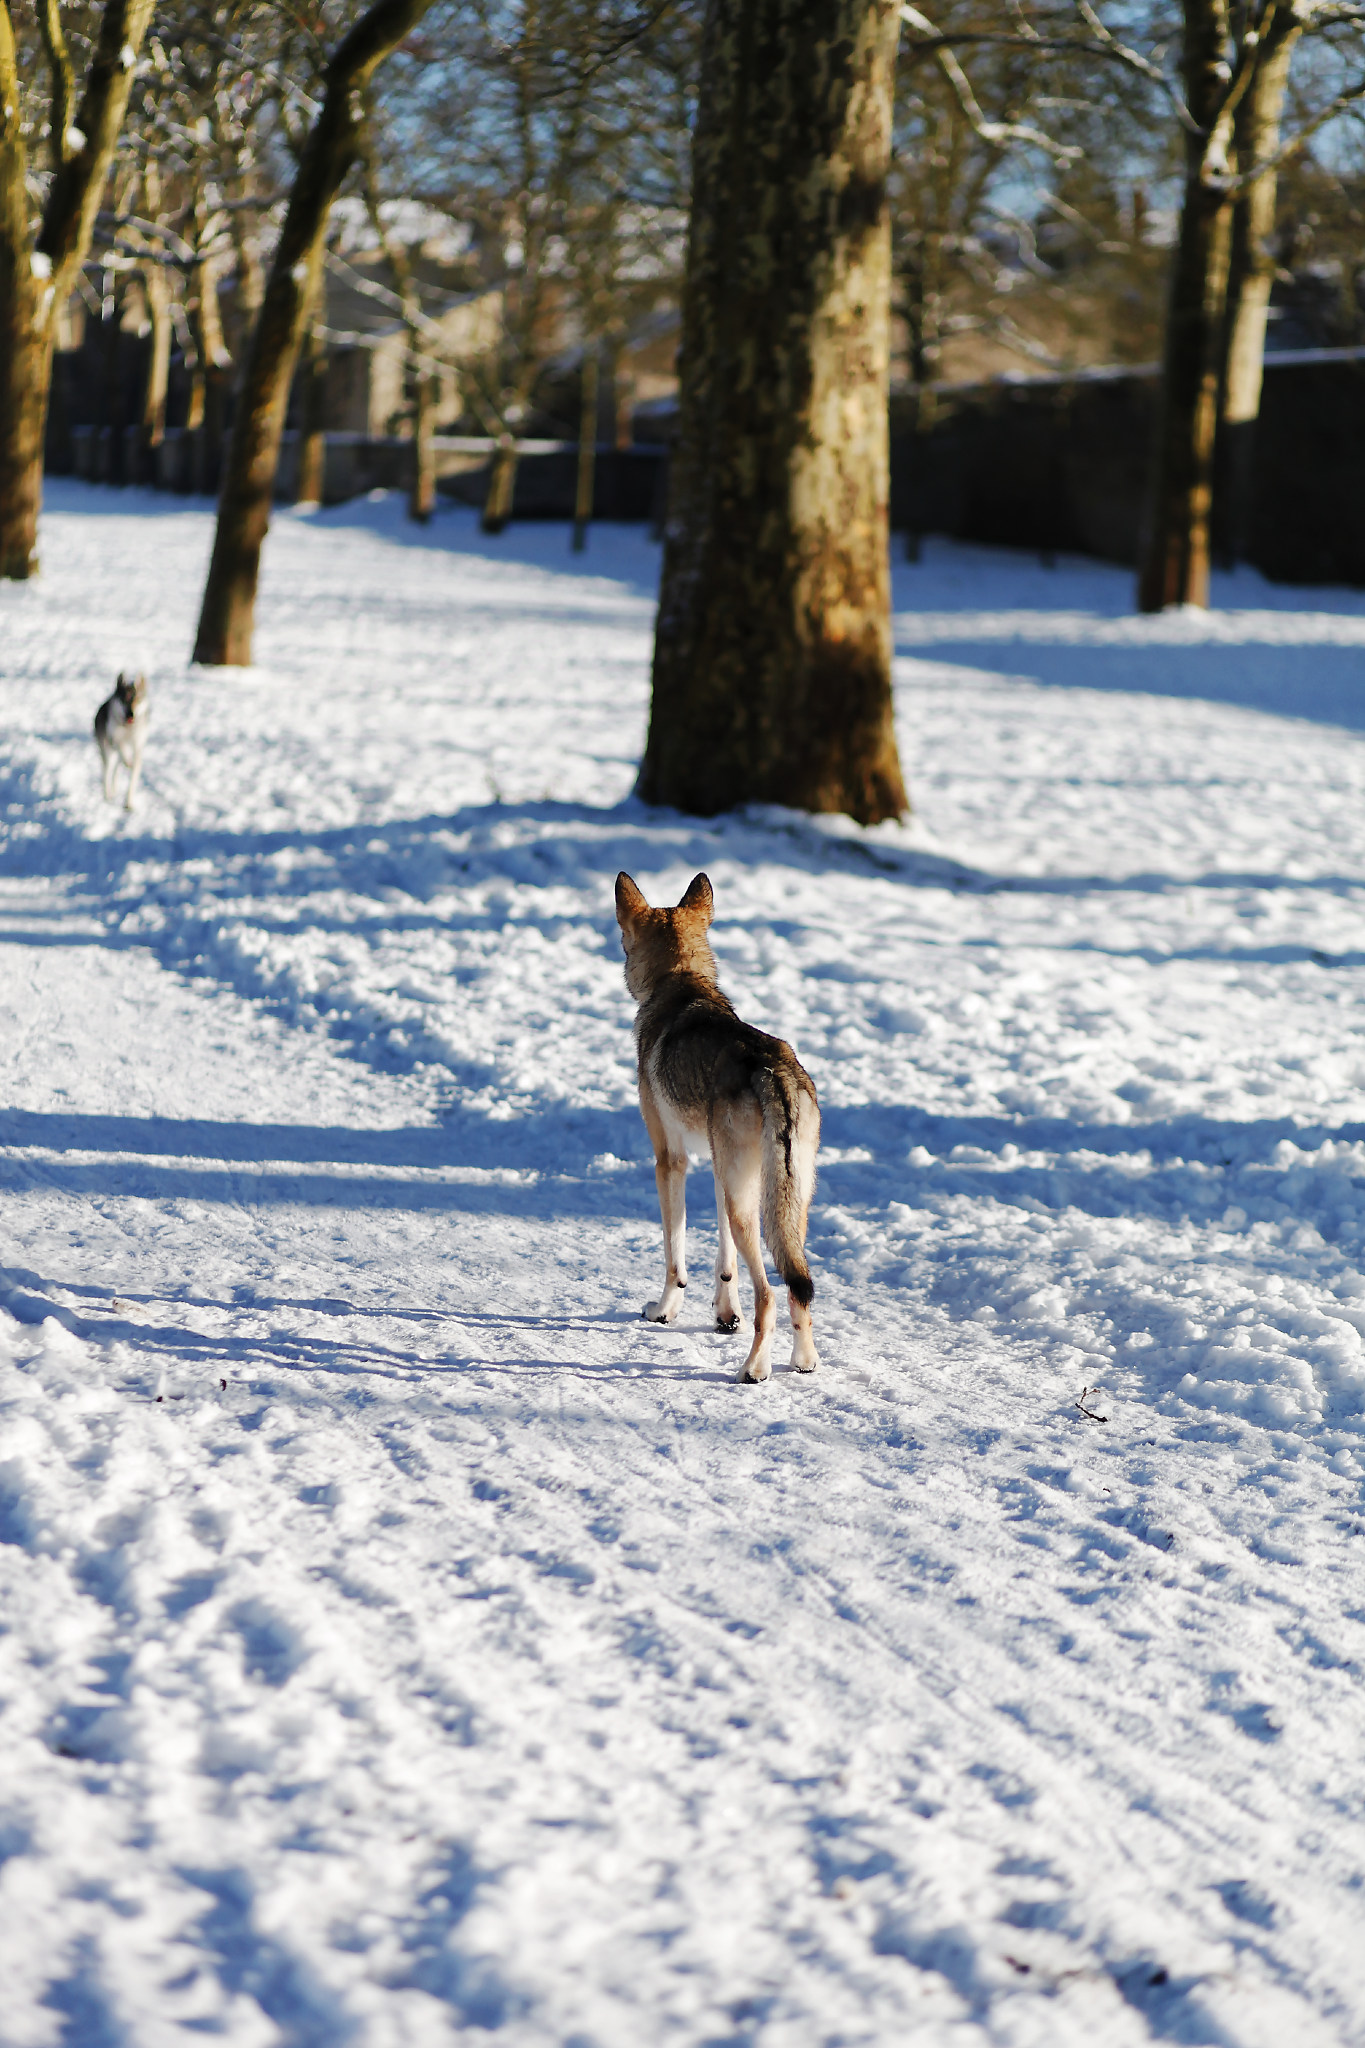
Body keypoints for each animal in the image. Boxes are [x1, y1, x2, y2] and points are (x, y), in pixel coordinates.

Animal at [94, 667, 148, 802]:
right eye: (125, 700)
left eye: (137, 700)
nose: (131, 715)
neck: (128, 729)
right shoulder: (115, 739)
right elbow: (122, 746)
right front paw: (128, 760)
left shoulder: (138, 747)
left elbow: (134, 777)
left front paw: (129, 803)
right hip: (108, 755)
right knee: (107, 773)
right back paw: (108, 794)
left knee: (116, 772)